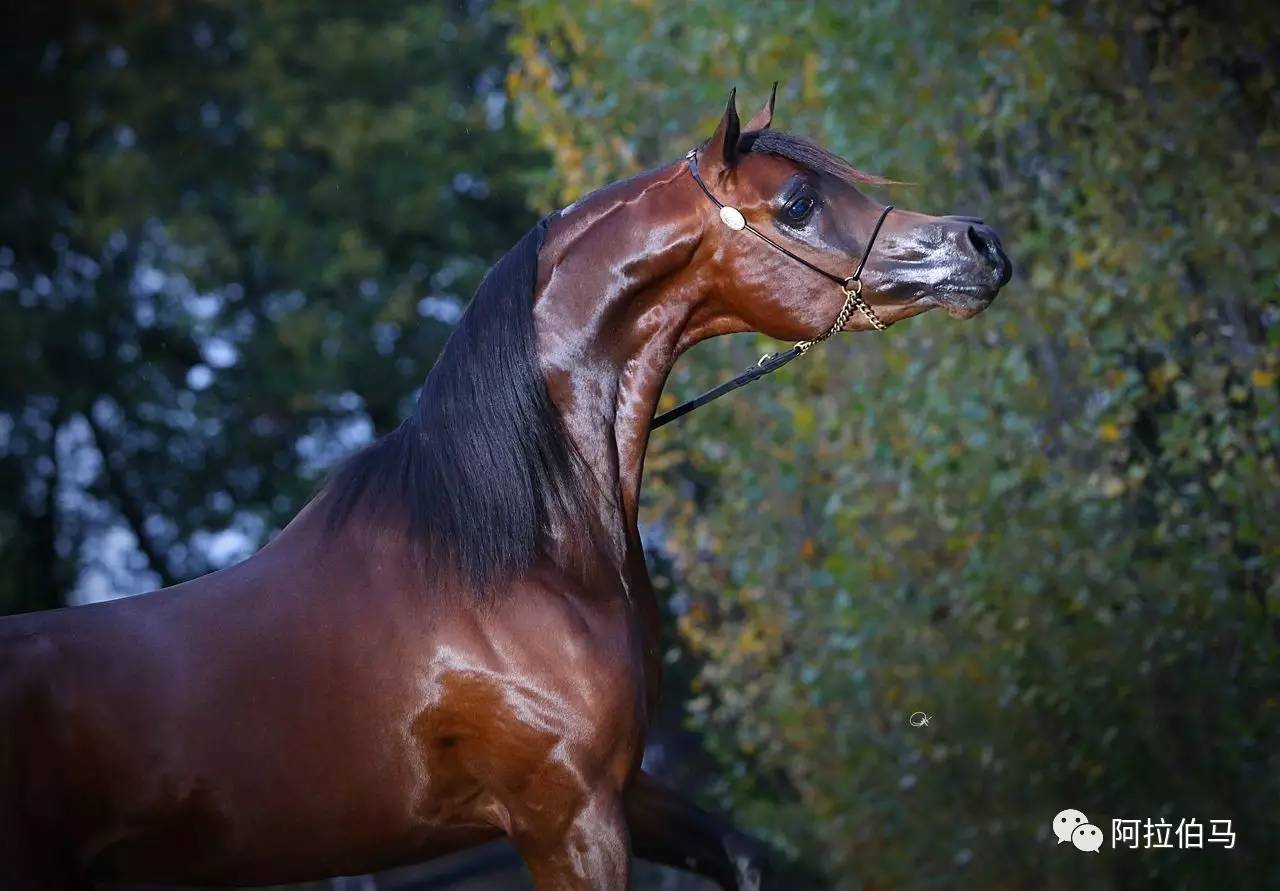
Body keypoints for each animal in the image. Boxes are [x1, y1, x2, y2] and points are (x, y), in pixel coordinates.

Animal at [0, 92, 1008, 891]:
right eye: (798, 202)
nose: (981, 244)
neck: (516, 561)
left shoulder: (626, 789)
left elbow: (748, 857)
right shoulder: (567, 814)